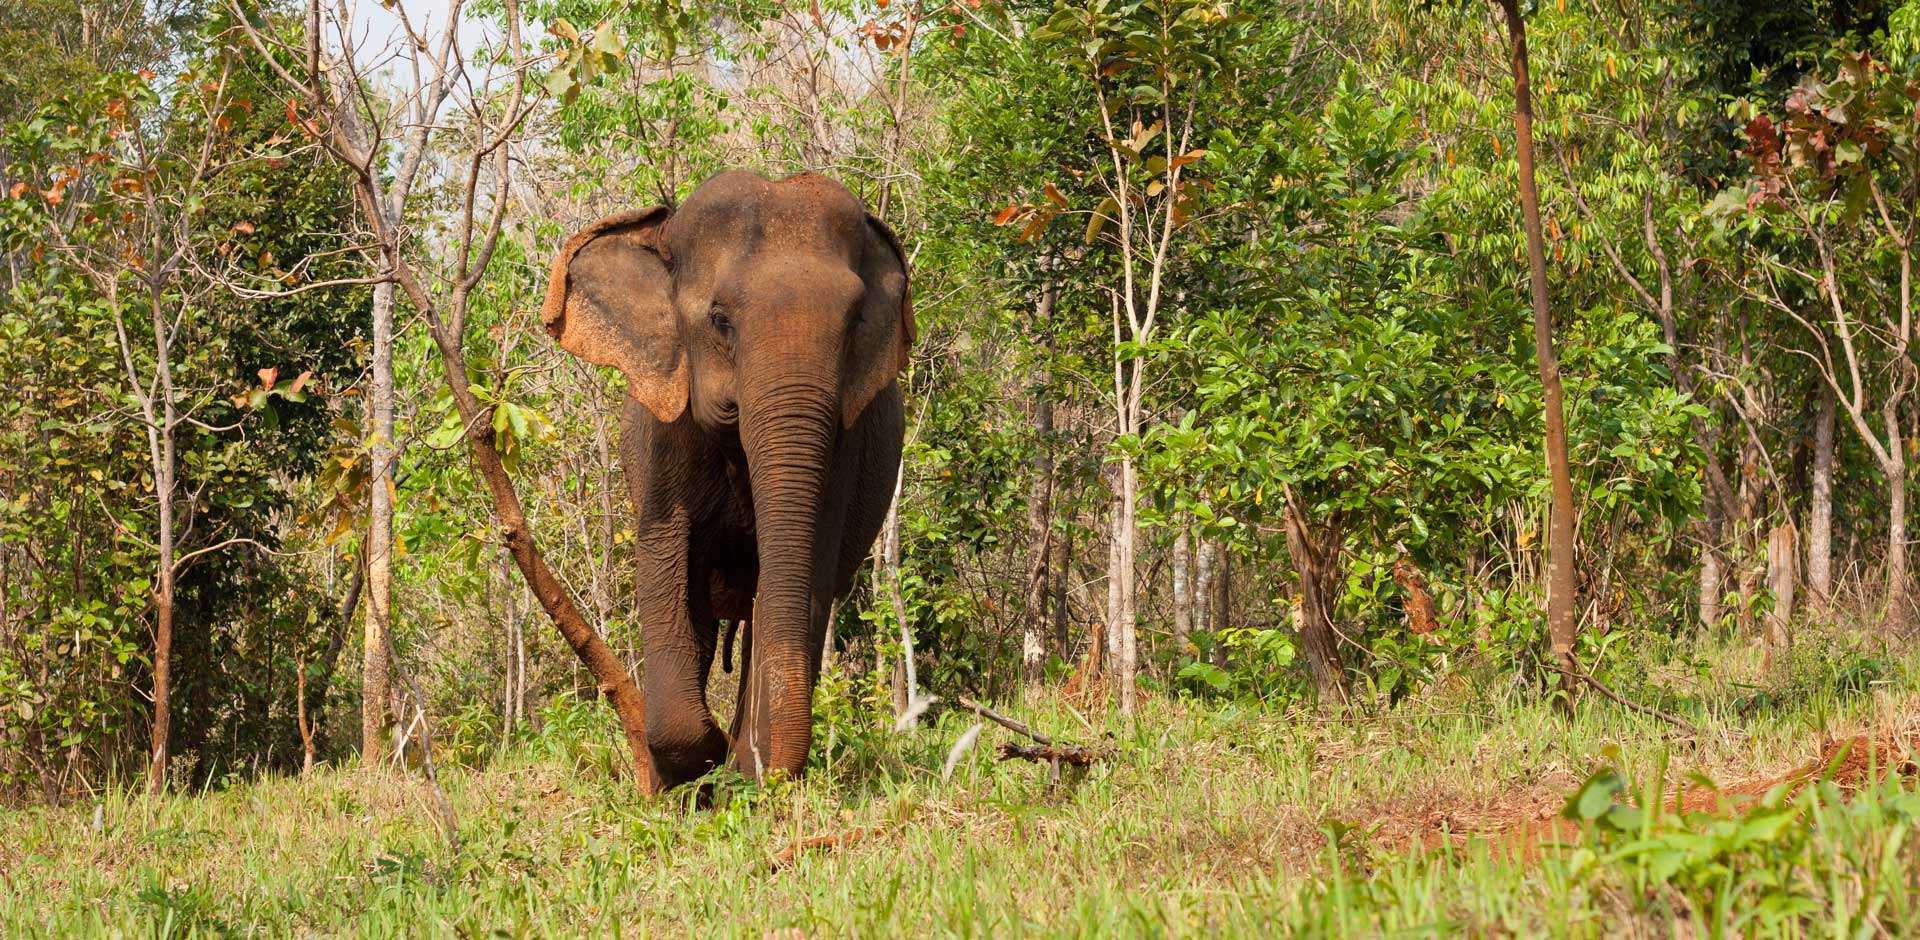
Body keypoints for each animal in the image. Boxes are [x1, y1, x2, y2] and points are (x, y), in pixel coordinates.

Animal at [541, 172, 913, 790]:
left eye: (855, 323)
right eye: (720, 320)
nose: (749, 767)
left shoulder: (845, 447)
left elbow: (805, 573)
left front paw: (740, 773)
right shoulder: (665, 440)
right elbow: (666, 566)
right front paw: (702, 764)